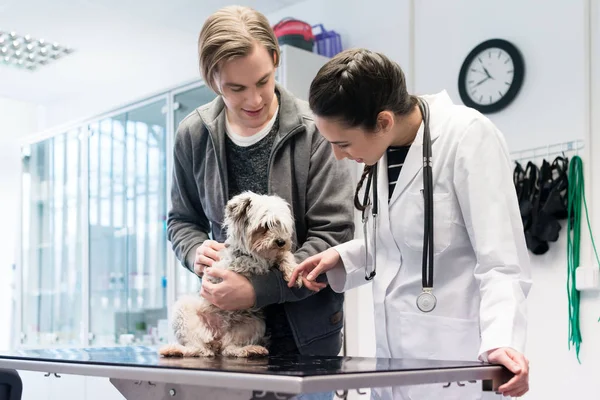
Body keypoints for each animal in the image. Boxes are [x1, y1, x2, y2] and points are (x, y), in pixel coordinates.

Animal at [159, 192, 302, 358]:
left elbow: (284, 255)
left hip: (254, 323)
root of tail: (216, 337)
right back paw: (174, 349)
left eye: (282, 225)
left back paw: (251, 349)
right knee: (199, 350)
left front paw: (293, 272)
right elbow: (258, 262)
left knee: (229, 348)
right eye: (265, 226)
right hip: (183, 310)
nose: (281, 241)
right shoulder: (240, 263)